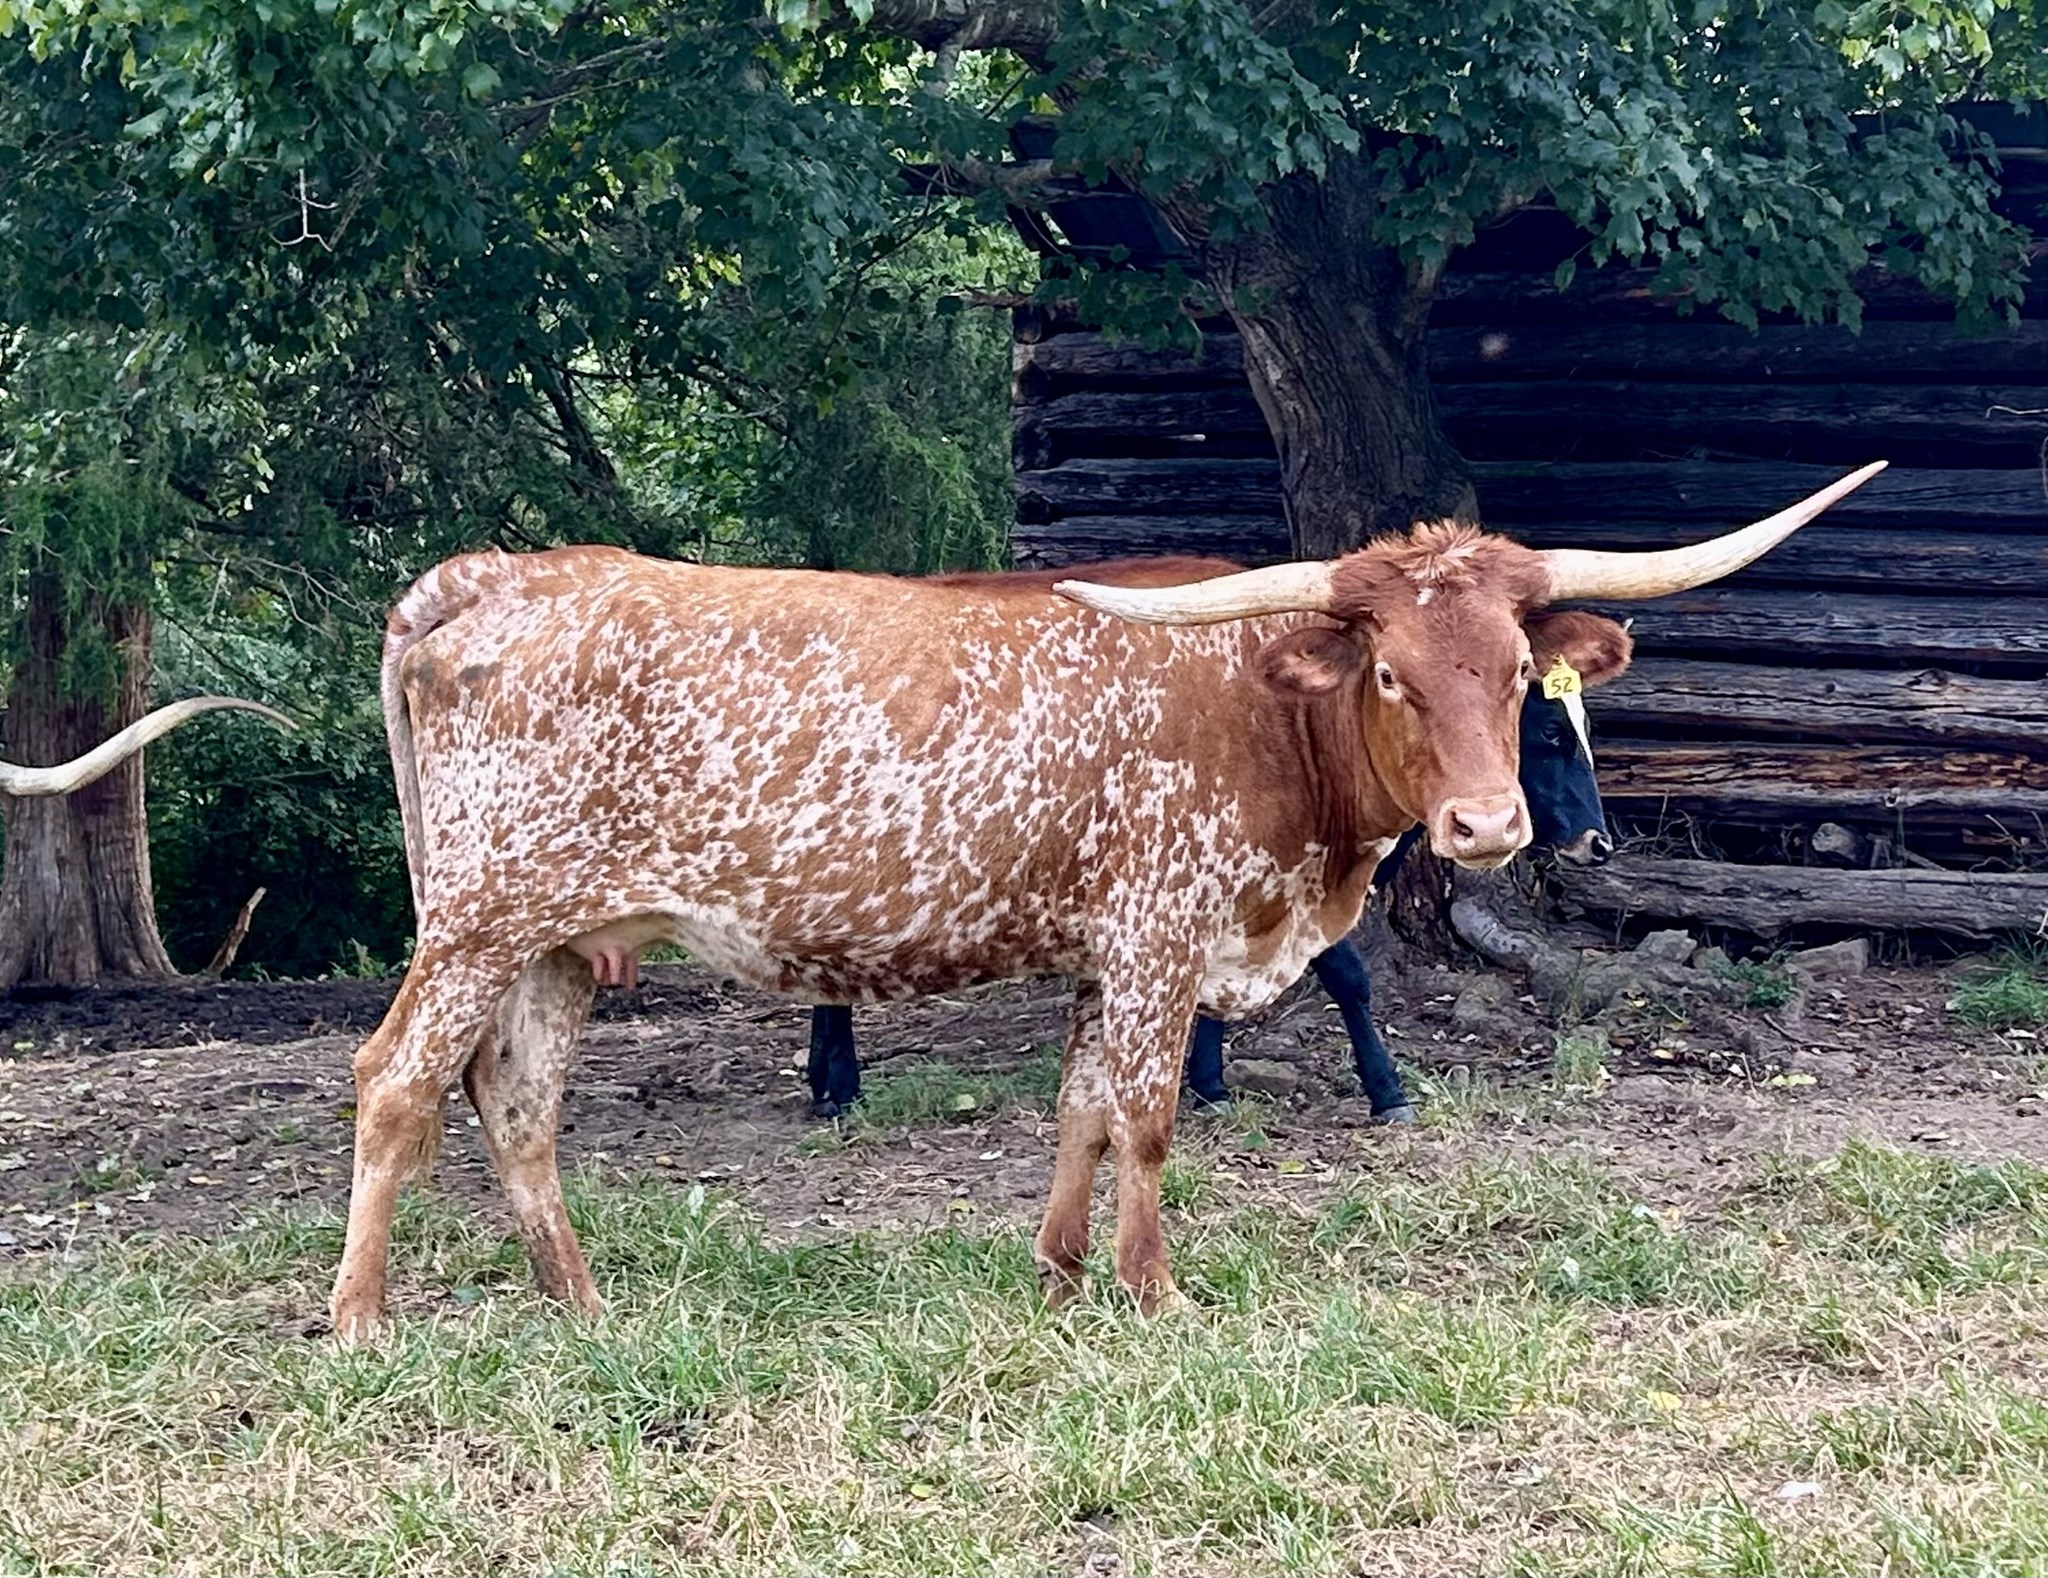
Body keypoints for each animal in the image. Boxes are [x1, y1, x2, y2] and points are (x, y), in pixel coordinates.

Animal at [802, 612, 1631, 1121]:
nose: (1599, 842)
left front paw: (1205, 1081)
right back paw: (840, 1088)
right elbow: (1349, 977)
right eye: (1550, 731)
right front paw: (1386, 1088)